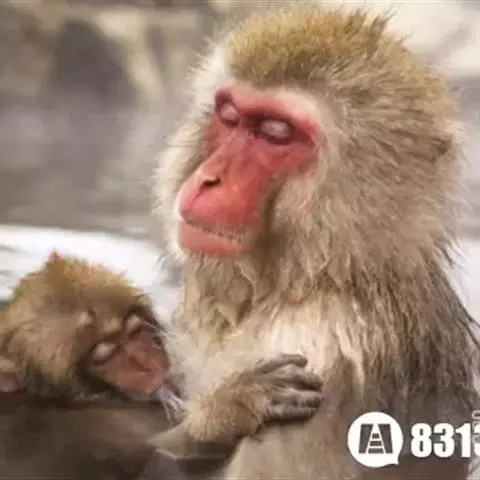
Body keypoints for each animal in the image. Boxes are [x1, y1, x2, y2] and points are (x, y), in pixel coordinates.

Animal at [0, 252, 323, 480]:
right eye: (106, 355)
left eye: (133, 332)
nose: (147, 363)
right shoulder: (92, 432)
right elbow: (161, 459)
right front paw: (231, 407)